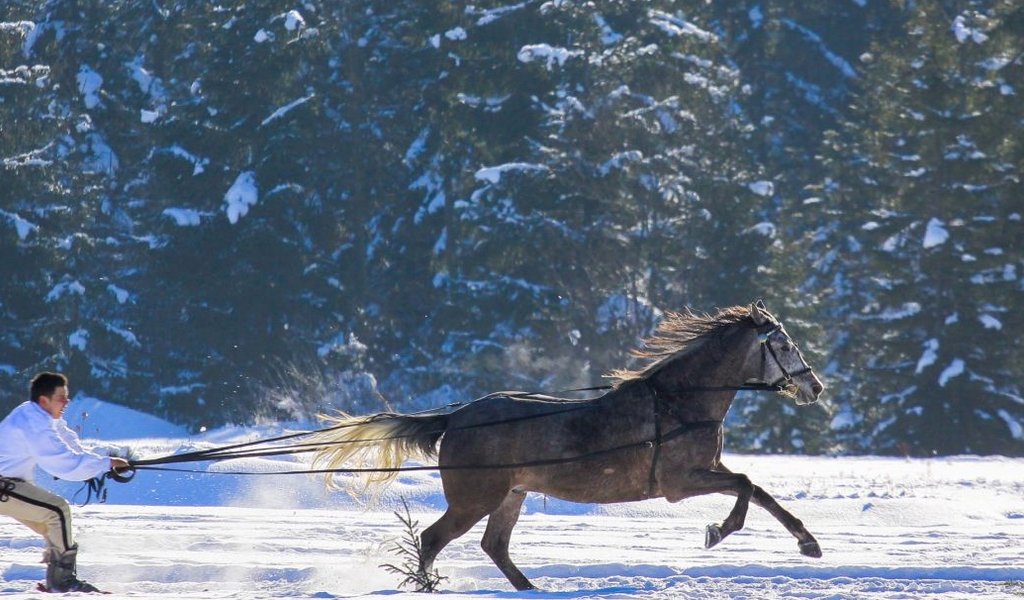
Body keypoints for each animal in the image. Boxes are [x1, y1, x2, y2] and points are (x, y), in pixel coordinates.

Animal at [309, 298, 823, 589]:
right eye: (784, 345)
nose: (814, 386)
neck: (681, 403)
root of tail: (456, 417)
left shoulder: (704, 471)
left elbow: (758, 490)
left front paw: (808, 542)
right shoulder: (679, 482)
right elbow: (746, 484)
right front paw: (719, 531)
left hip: (510, 495)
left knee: (494, 546)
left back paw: (530, 588)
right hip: (475, 498)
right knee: (434, 539)